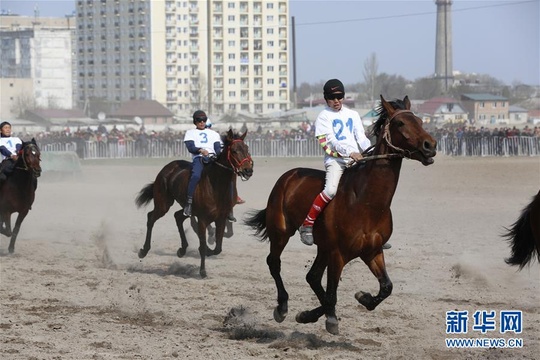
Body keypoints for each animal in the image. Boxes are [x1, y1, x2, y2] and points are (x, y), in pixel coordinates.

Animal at [135, 129, 253, 278]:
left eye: (247, 149)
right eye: (234, 151)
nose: (248, 170)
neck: (216, 185)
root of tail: (167, 168)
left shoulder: (220, 218)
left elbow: (218, 248)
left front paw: (208, 250)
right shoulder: (202, 219)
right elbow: (202, 245)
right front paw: (202, 271)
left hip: (186, 208)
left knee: (177, 216)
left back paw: (182, 249)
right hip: (163, 204)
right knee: (151, 217)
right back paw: (143, 250)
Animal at [247, 95, 436, 334]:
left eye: (419, 120)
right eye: (400, 123)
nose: (430, 145)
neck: (368, 202)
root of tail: (288, 176)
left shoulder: (372, 251)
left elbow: (386, 287)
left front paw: (362, 298)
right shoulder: (338, 254)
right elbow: (332, 294)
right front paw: (329, 318)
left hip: (322, 247)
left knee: (312, 277)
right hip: (281, 232)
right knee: (274, 262)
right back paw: (282, 307)